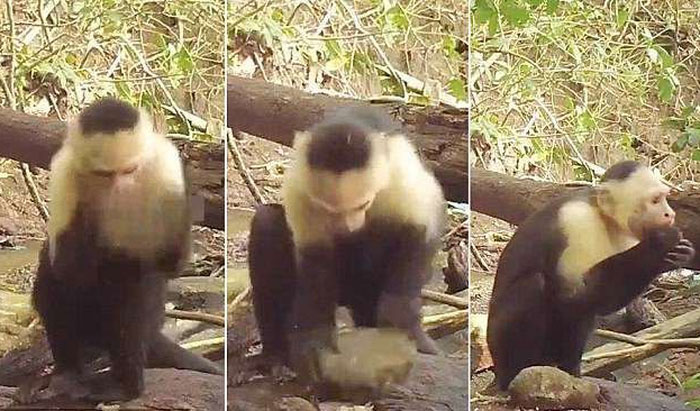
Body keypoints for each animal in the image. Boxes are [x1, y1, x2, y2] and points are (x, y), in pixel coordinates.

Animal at [29, 98, 222, 403]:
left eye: (129, 170)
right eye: (104, 174)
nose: (119, 191)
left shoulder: (167, 167)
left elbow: (169, 262)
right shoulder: (64, 173)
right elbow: (68, 267)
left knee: (133, 296)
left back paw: (127, 384)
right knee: (54, 288)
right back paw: (68, 375)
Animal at [247, 106, 446, 392]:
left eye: (362, 204)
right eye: (330, 210)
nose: (348, 228)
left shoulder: (402, 172)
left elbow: (419, 231)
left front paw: (403, 325)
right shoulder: (300, 186)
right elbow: (315, 262)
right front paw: (314, 343)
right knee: (267, 223)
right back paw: (274, 355)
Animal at [486, 160, 695, 391]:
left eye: (664, 198)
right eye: (655, 200)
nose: (671, 214)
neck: (603, 217)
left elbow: (598, 301)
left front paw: (676, 255)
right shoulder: (577, 220)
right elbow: (571, 296)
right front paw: (660, 245)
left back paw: (569, 371)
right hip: (497, 344)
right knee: (534, 285)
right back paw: (517, 374)